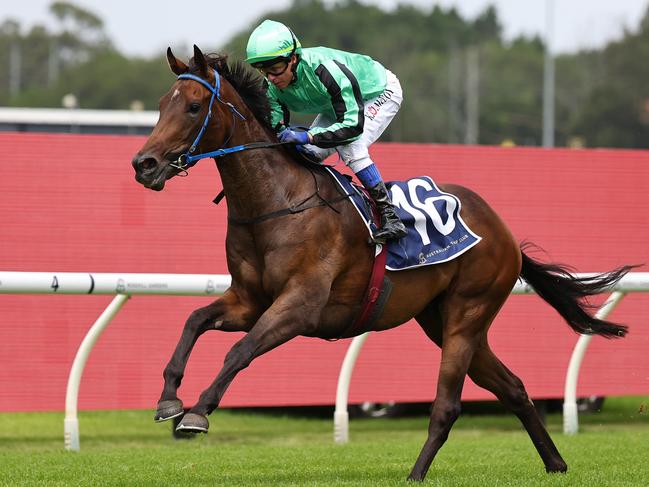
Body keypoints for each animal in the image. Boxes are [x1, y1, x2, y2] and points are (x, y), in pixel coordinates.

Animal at [129, 46, 632, 484]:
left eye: (194, 106)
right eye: (162, 104)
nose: (144, 164)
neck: (277, 202)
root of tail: (504, 232)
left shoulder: (299, 307)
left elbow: (239, 351)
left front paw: (197, 412)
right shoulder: (248, 301)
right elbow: (195, 320)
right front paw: (169, 400)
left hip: (467, 314)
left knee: (447, 405)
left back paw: (417, 473)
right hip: (442, 320)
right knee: (513, 387)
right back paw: (555, 463)